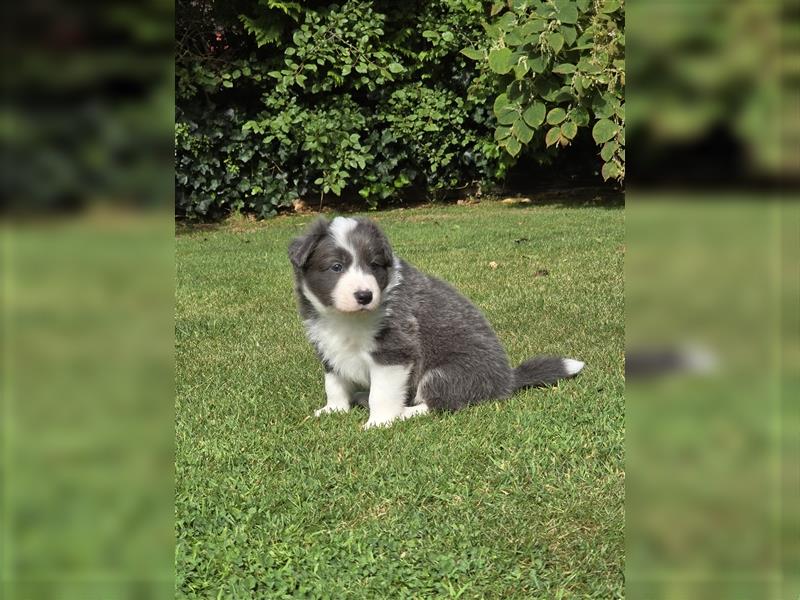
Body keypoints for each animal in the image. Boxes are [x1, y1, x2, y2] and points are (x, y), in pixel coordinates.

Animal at [288, 216, 580, 426]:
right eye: (336, 267)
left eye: (374, 265)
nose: (364, 295)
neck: (347, 319)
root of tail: (506, 380)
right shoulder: (327, 345)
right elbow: (334, 382)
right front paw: (334, 409)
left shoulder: (395, 349)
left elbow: (382, 393)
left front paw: (379, 423)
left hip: (445, 373)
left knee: (441, 403)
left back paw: (405, 413)